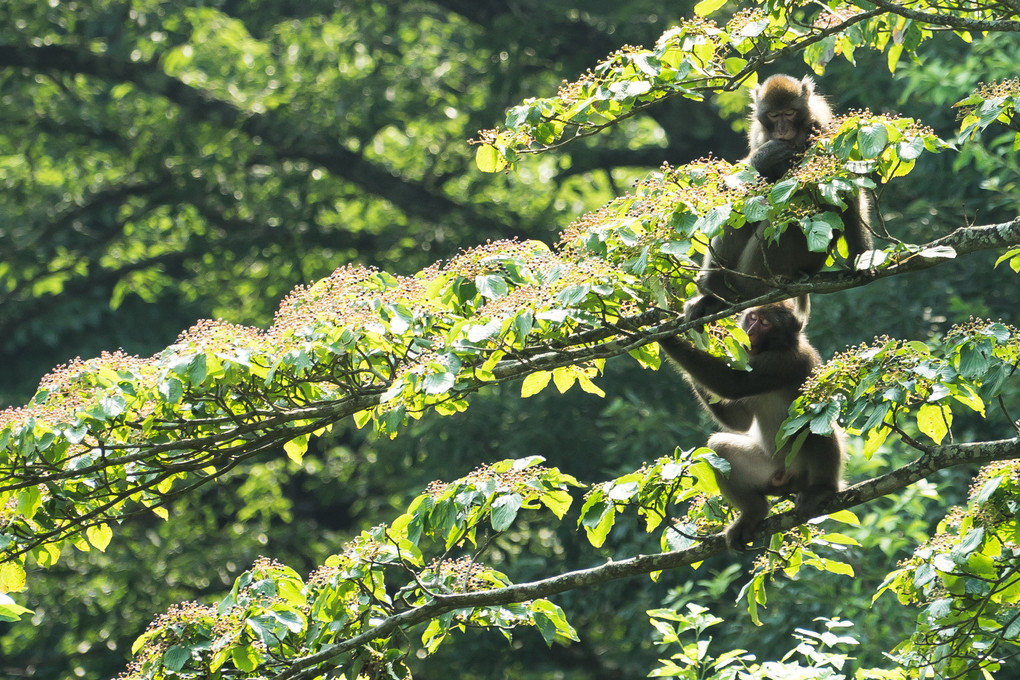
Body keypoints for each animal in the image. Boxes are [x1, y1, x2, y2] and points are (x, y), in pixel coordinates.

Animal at [660, 295, 844, 550]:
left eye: (765, 323)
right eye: (753, 317)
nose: (749, 332)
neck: (775, 347)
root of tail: (789, 480)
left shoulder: (783, 363)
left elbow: (732, 384)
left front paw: (664, 337)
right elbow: (740, 422)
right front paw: (702, 316)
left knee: (814, 422)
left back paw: (823, 488)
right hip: (771, 471)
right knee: (720, 448)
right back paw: (753, 513)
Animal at [681, 73, 873, 324]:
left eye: (789, 113)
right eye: (774, 115)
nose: (782, 130)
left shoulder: (824, 132)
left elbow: (845, 191)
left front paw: (862, 256)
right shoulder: (759, 133)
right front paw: (764, 156)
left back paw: (720, 287)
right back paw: (714, 291)